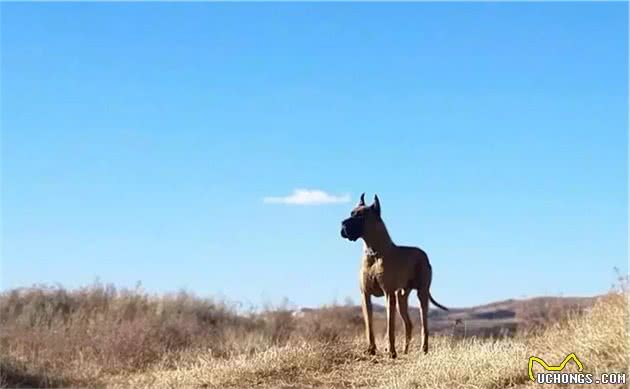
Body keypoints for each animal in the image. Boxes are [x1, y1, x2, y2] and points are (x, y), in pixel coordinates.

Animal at [340, 192, 450, 356]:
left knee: (424, 324)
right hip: (401, 298)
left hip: (422, 294)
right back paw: (405, 350)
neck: (374, 253)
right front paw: (371, 349)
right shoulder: (365, 295)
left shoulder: (388, 294)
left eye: (361, 216)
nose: (342, 224)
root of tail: (424, 254)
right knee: (408, 324)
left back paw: (423, 349)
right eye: (351, 213)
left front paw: (391, 351)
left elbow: (390, 326)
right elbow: (369, 326)